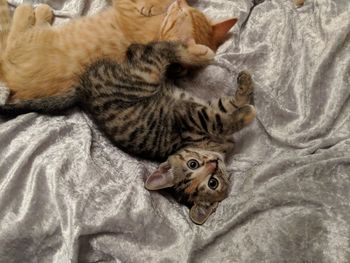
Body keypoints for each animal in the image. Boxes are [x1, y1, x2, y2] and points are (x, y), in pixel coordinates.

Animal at [0, 0, 238, 102]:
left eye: (178, 11)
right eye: (186, 8)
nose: (179, 1)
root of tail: (12, 80)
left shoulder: (130, 12)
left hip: (26, 41)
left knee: (14, 33)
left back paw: (34, 11)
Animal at [0, 41, 254, 225]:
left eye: (212, 182)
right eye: (194, 165)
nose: (212, 164)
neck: (212, 147)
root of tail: (82, 92)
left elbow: (226, 107)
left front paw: (244, 93)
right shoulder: (190, 117)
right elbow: (223, 111)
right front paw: (246, 108)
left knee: (141, 49)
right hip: (145, 76)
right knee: (159, 50)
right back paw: (198, 53)